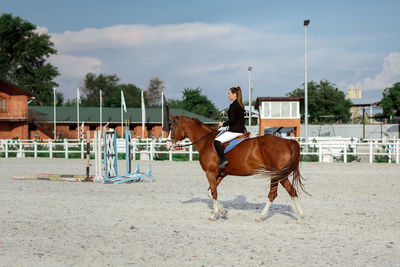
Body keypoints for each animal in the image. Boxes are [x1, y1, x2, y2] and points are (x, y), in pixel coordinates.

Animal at [167, 113, 304, 222]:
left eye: (172, 127)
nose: (168, 145)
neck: (207, 141)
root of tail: (287, 141)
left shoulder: (210, 173)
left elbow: (214, 193)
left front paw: (214, 215)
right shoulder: (220, 174)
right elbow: (210, 192)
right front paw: (223, 211)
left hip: (278, 175)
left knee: (278, 193)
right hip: (278, 175)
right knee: (287, 192)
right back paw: (296, 217)